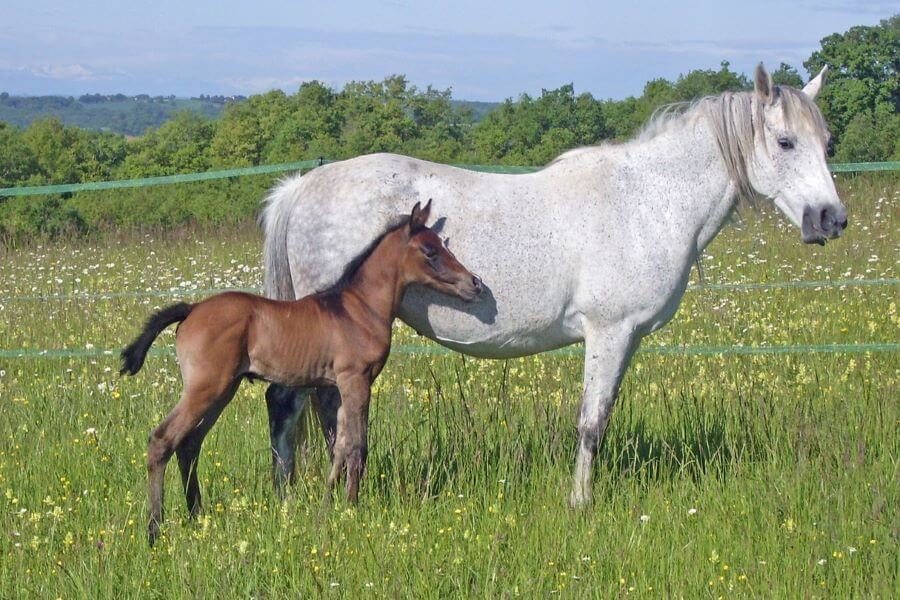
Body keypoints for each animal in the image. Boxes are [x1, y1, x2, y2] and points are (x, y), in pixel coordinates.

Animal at [125, 202, 486, 544]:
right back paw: (154, 530)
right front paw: (352, 507)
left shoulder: (339, 386)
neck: (359, 308)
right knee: (162, 439)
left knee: (189, 444)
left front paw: (328, 505)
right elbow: (356, 445)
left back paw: (197, 515)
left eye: (443, 244)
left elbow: (340, 445)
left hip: (223, 390)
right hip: (207, 387)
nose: (475, 284)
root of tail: (191, 310)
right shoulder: (355, 379)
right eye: (430, 252)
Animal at [258, 63, 844, 504]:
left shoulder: (627, 339)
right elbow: (591, 423)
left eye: (828, 143)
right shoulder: (608, 332)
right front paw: (579, 502)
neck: (647, 200)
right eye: (785, 142)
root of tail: (302, 187)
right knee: (308, 407)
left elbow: (602, 418)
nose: (831, 219)